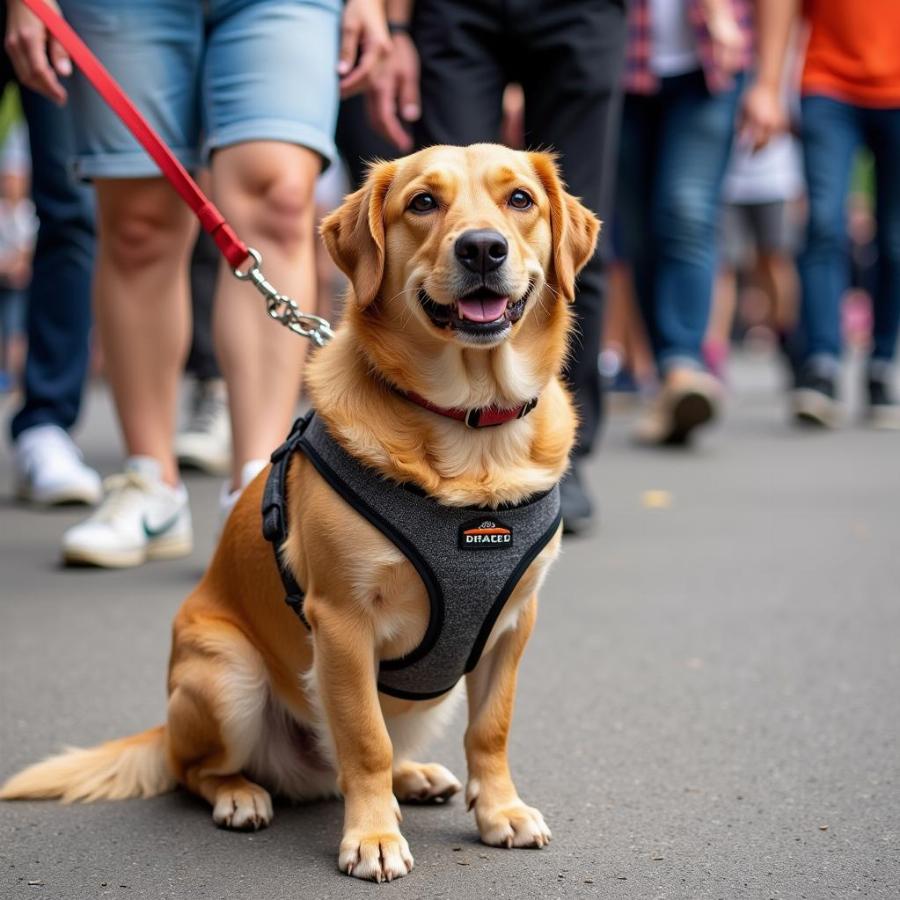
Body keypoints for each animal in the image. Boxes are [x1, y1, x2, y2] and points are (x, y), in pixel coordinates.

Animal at [1, 144, 596, 884]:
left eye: (519, 200)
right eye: (423, 203)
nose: (482, 248)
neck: (469, 431)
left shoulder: (512, 626)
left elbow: (491, 729)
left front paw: (500, 812)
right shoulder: (341, 623)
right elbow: (364, 739)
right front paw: (372, 837)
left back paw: (413, 777)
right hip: (227, 674)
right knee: (200, 770)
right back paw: (242, 795)